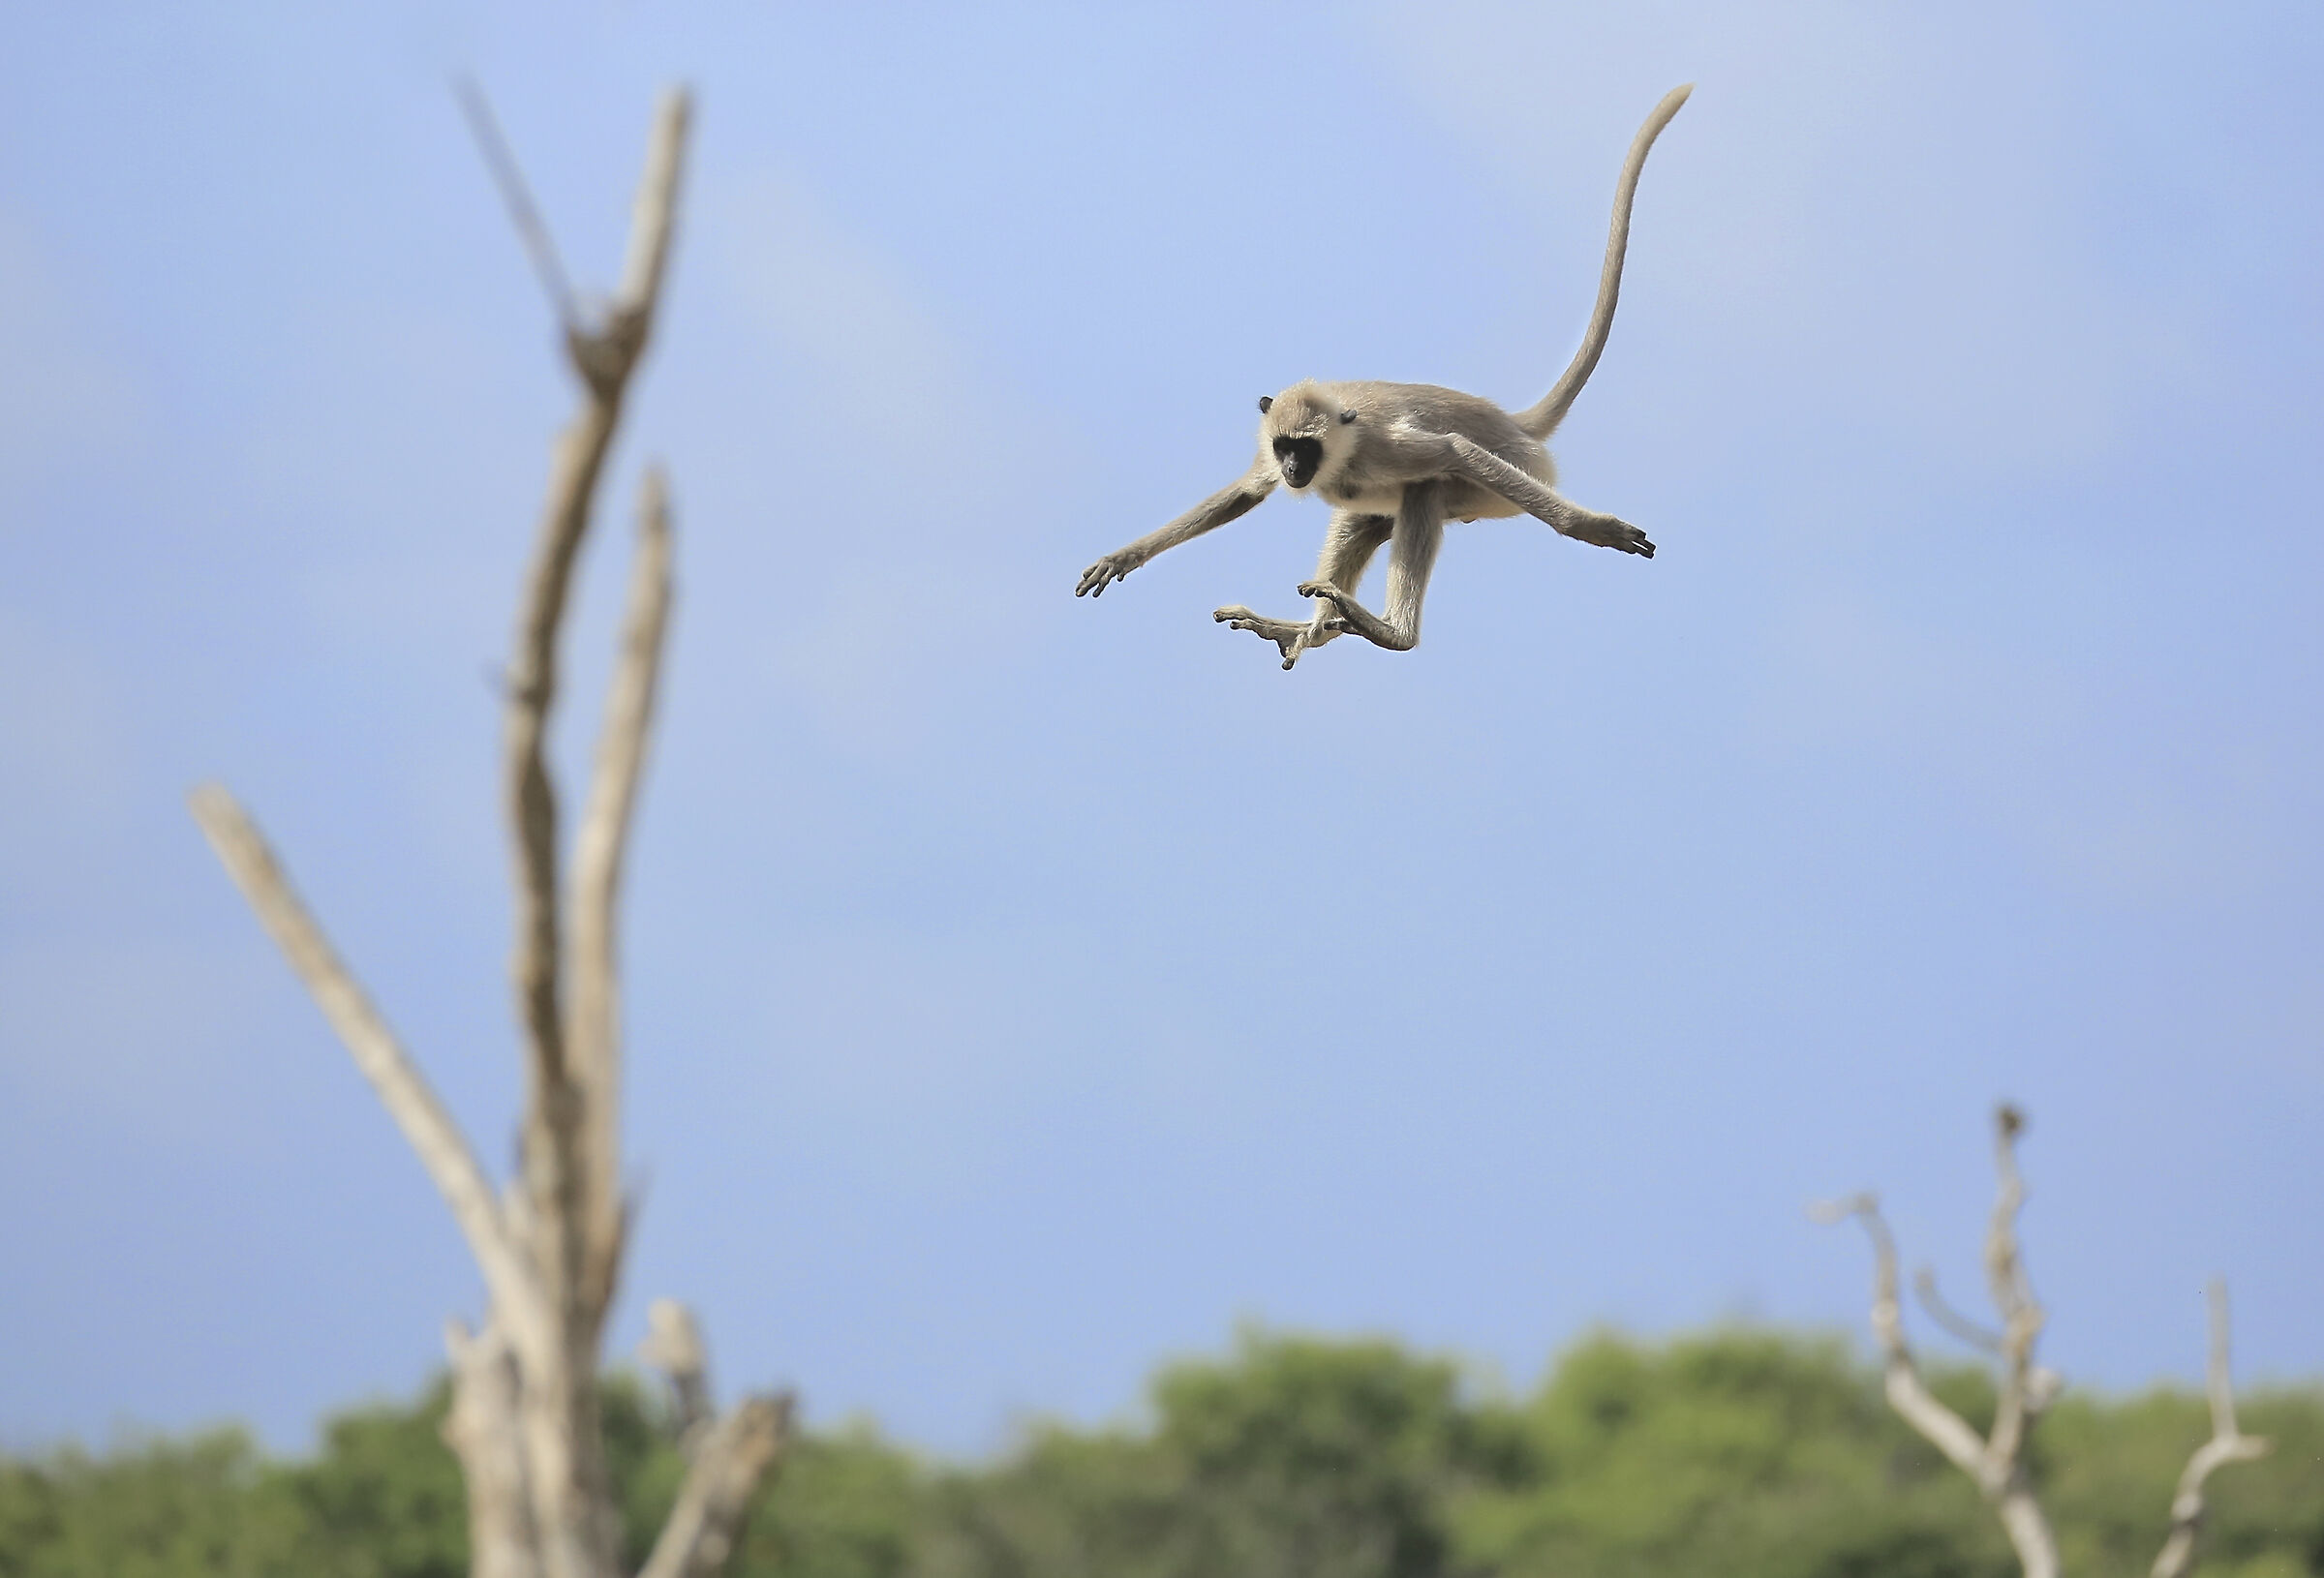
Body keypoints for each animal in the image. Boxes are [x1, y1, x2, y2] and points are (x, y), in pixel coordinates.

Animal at [1074, 85, 1691, 669]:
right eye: (1285, 447)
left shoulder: (1383, 450)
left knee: (1427, 488)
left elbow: (1454, 450)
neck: (1340, 452)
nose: (1294, 470)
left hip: (1498, 483)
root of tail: (1512, 423)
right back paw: (1315, 628)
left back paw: (1390, 632)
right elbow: (1244, 494)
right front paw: (1123, 557)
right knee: (1363, 517)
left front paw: (1592, 529)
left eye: (1307, 448)